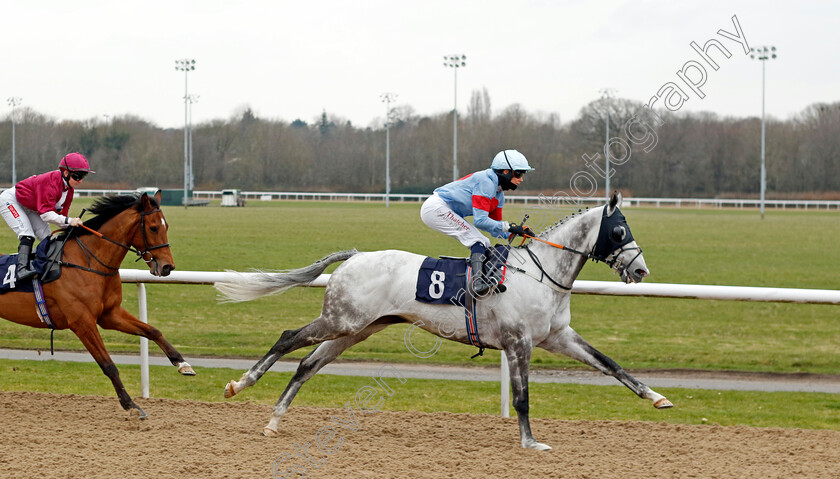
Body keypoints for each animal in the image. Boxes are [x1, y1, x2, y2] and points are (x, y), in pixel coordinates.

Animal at [0, 193, 192, 418]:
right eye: (153, 228)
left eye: (166, 226)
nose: (167, 266)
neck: (88, 262)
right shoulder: (83, 323)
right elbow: (108, 365)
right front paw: (130, 404)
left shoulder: (110, 314)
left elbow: (153, 331)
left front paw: (182, 363)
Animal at [218, 191, 676, 450]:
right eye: (619, 230)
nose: (641, 271)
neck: (543, 273)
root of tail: (355, 255)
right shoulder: (519, 343)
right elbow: (522, 397)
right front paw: (530, 442)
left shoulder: (557, 336)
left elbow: (610, 364)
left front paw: (657, 397)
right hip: (341, 320)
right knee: (287, 337)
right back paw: (240, 383)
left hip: (358, 328)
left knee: (308, 363)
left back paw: (274, 422)